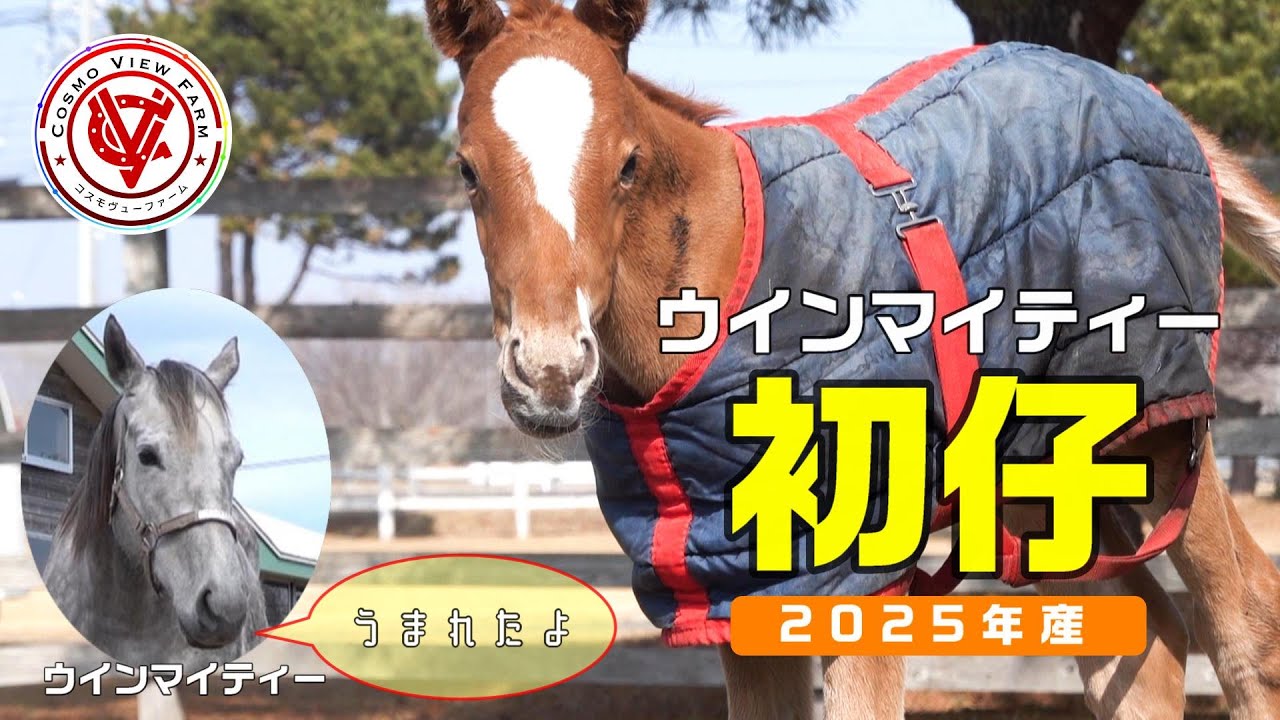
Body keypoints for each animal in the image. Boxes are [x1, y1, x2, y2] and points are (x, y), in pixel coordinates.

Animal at [421, 0, 1280, 716]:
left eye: (627, 164)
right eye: (467, 169)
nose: (550, 373)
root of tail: (1157, 104)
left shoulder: (859, 572)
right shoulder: (737, 578)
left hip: (1162, 429)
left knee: (1243, 631)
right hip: (1041, 469)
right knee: (1144, 642)